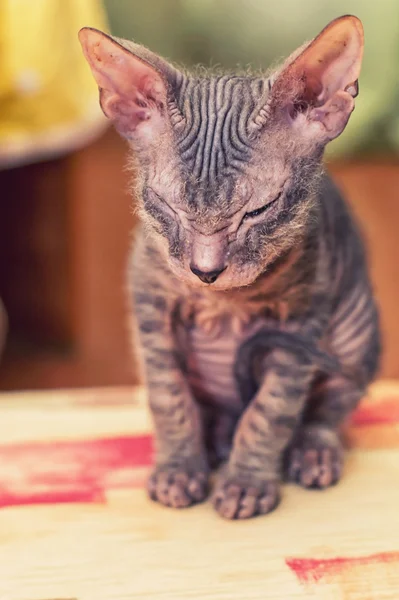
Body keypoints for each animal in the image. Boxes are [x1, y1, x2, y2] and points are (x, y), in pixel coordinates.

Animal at [79, 15, 382, 520]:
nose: (205, 271)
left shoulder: (302, 322)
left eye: (258, 211)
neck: (223, 300)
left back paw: (311, 452)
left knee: (328, 410)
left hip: (355, 335)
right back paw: (216, 442)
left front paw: (246, 483)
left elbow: (269, 412)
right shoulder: (149, 300)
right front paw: (179, 469)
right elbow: (168, 397)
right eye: (167, 207)